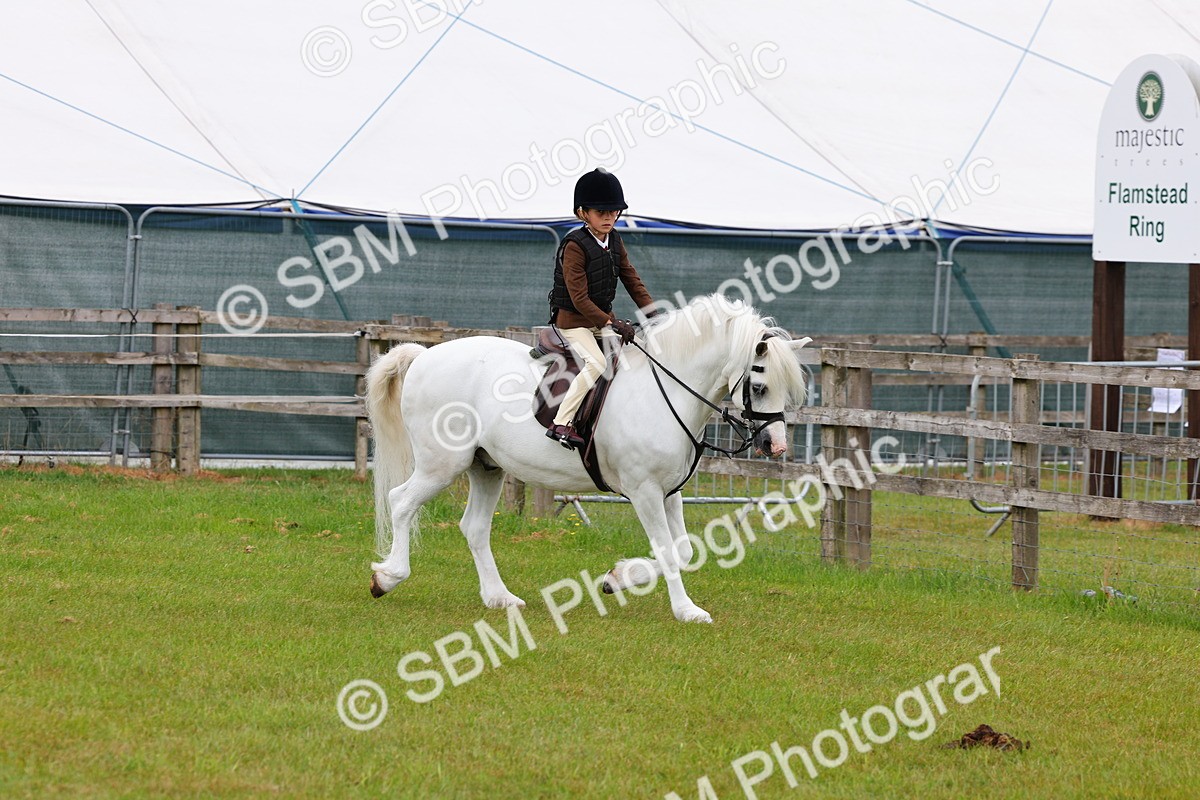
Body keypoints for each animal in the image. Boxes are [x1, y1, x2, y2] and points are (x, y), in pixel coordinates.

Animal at [364, 294, 811, 623]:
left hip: (486, 466)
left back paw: (501, 598)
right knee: (401, 502)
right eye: (759, 383)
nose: (775, 446)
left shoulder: (669, 492)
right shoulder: (644, 492)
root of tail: (424, 356)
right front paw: (686, 611)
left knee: (474, 527)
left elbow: (683, 551)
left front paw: (618, 578)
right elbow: (669, 552)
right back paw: (387, 578)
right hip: (442, 465)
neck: (667, 390)